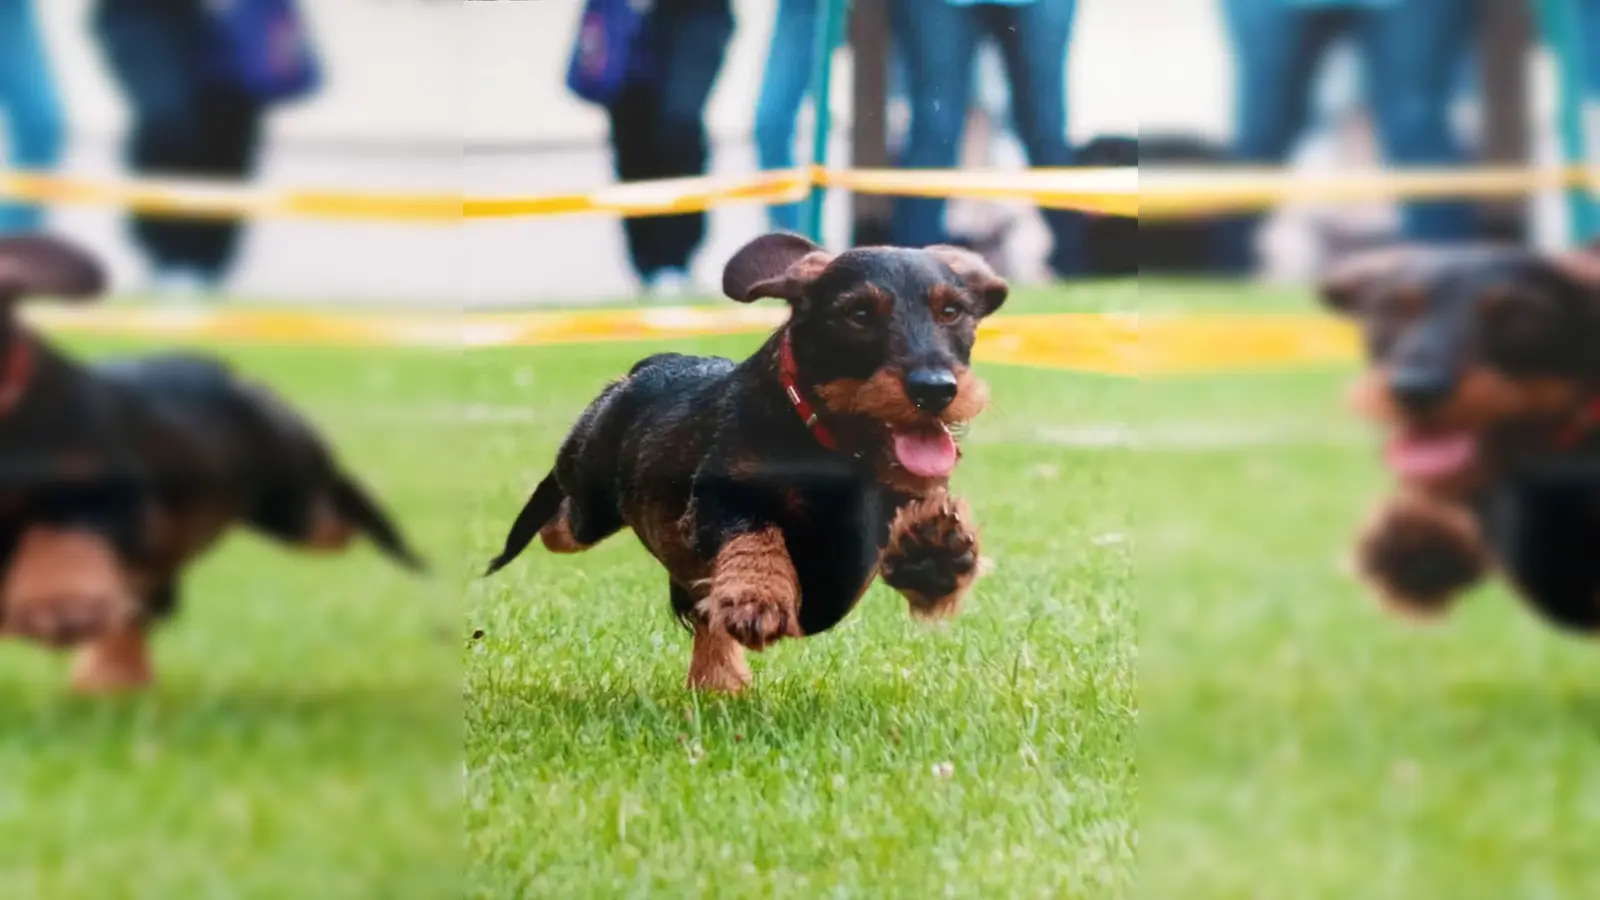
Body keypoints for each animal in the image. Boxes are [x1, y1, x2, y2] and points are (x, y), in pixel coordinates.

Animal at [0, 235, 425, 688]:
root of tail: (233, 375)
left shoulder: (114, 489)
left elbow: (65, 525)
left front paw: (61, 600)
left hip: (294, 501)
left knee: (337, 510)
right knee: (146, 606)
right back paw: (112, 673)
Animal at [489, 229, 998, 685]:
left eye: (951, 311)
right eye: (857, 313)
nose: (935, 389)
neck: (826, 445)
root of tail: (645, 367)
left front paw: (932, 555)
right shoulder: (720, 492)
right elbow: (754, 530)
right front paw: (757, 596)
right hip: (587, 499)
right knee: (560, 522)